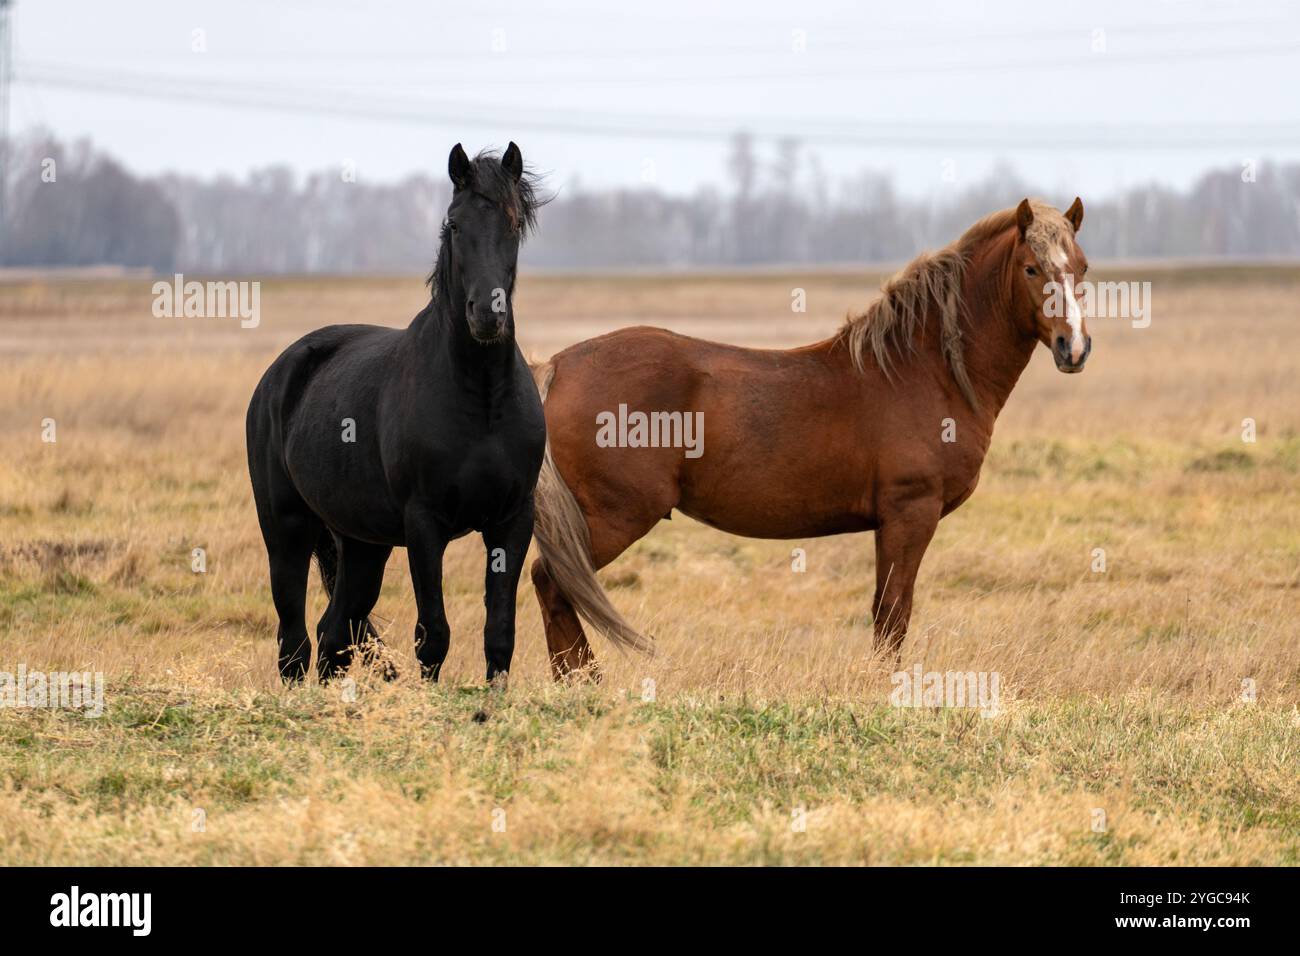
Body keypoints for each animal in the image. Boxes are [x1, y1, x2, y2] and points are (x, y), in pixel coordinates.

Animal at [246, 143, 547, 685]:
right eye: (454, 224)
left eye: (514, 223)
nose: (486, 315)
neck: (482, 401)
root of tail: (279, 373)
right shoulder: (423, 524)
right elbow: (433, 635)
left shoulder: (513, 519)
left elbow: (500, 633)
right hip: (286, 529)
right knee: (294, 643)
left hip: (362, 543)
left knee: (335, 635)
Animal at [529, 197, 1091, 679]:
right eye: (1031, 268)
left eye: (1082, 269)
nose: (1074, 348)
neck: (924, 369)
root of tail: (558, 366)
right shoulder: (910, 512)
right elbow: (894, 610)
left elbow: (887, 609)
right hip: (615, 516)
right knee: (553, 583)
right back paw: (585, 685)